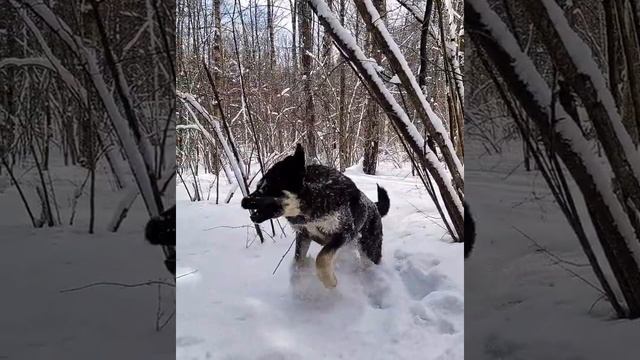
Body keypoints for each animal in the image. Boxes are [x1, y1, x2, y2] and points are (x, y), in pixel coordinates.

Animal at [241, 145, 388, 288]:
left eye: (267, 188)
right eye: (257, 186)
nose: (243, 201)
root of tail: (374, 206)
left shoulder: (344, 233)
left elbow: (321, 258)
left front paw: (330, 281)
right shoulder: (303, 235)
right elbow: (298, 260)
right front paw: (301, 276)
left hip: (369, 249)